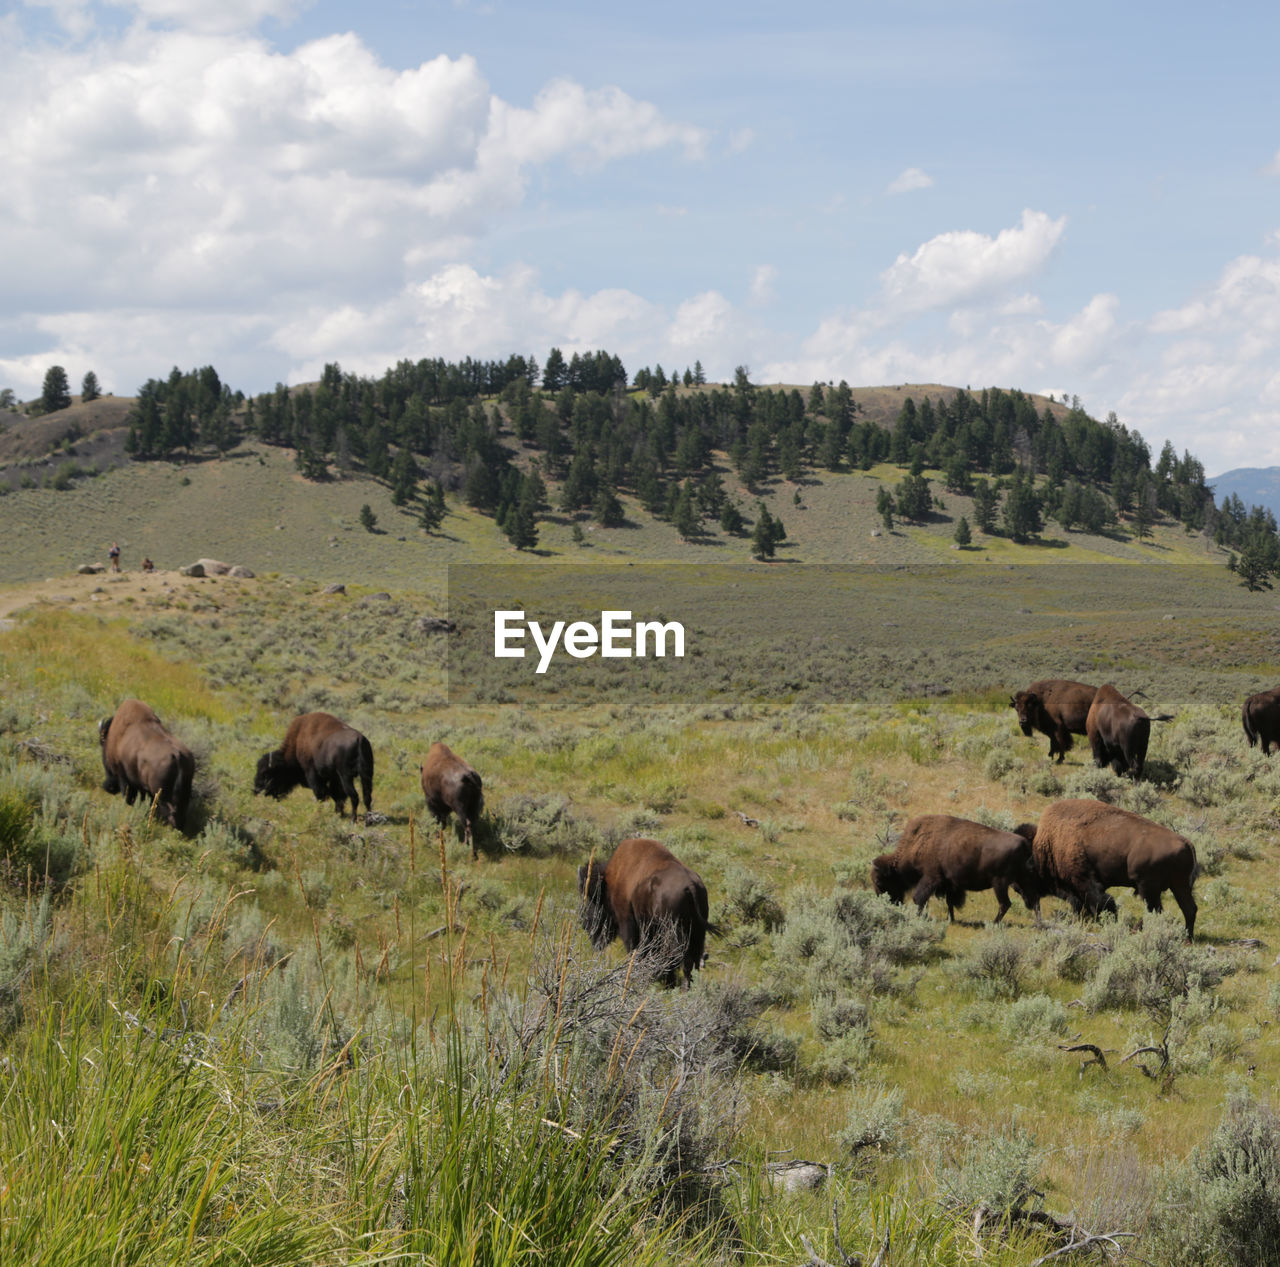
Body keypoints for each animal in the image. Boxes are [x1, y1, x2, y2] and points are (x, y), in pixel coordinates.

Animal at [578, 844, 716, 993]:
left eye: (592, 899)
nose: (583, 922)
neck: (610, 880)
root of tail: (691, 885)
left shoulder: (627, 921)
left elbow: (634, 948)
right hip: (697, 931)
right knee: (692, 959)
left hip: (673, 930)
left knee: (677, 957)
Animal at [870, 819, 1039, 926]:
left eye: (879, 881)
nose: (886, 903)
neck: (919, 842)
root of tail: (1024, 843)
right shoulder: (949, 884)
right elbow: (949, 902)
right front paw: (951, 920)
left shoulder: (931, 878)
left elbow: (919, 899)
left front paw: (919, 917)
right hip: (1021, 881)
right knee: (1033, 899)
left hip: (1000, 883)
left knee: (1005, 903)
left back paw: (993, 923)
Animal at [1013, 798, 1192, 936]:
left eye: (1027, 872)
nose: (1027, 902)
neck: (1047, 843)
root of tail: (1186, 843)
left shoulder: (1083, 881)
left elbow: (1100, 902)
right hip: (1178, 886)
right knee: (1188, 908)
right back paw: (1187, 938)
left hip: (1149, 888)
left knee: (1156, 910)